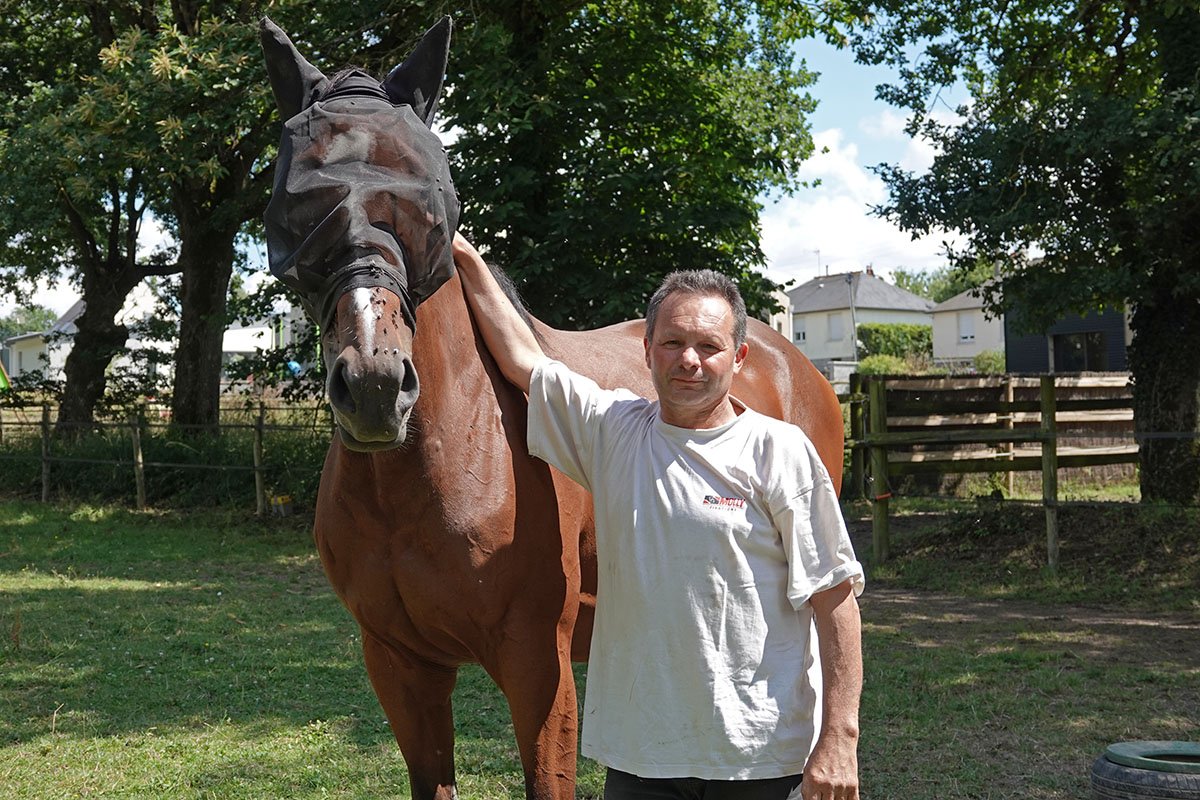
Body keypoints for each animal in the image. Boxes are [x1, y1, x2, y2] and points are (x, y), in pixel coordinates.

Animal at [260, 17, 845, 800]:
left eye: (430, 201)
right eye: (294, 202)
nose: (377, 386)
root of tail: (794, 362)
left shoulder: (539, 665)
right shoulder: (401, 665)